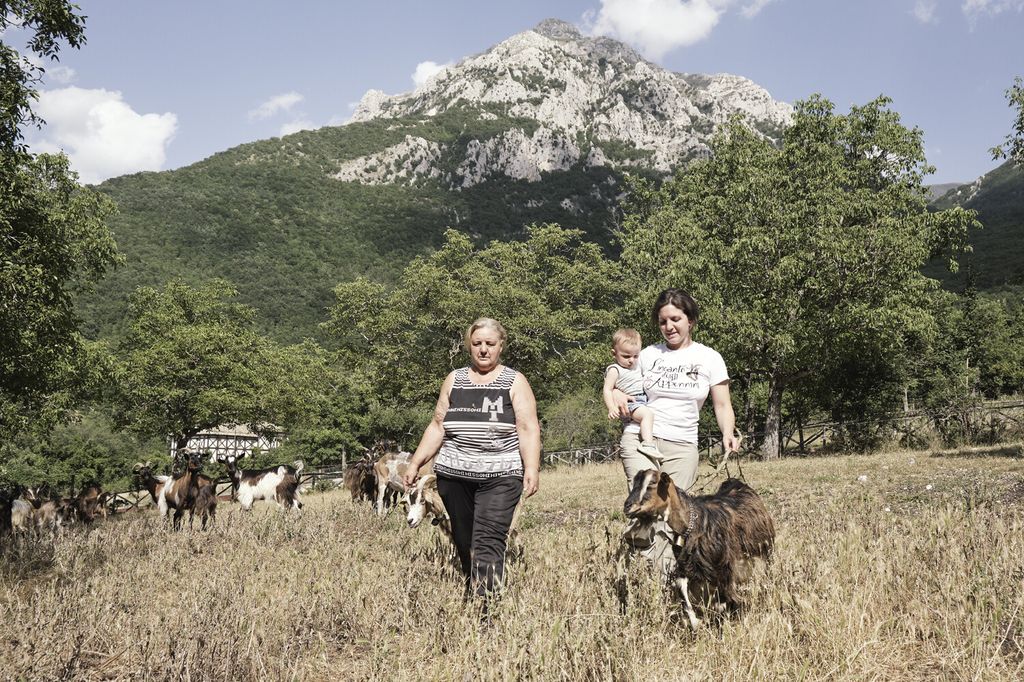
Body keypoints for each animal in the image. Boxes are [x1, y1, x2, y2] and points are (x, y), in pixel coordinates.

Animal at [622, 471, 774, 622]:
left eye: (652, 483)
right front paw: (694, 621)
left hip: (763, 552)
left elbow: (726, 597)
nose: (627, 506)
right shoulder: (688, 565)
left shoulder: (724, 567)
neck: (692, 523)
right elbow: (681, 585)